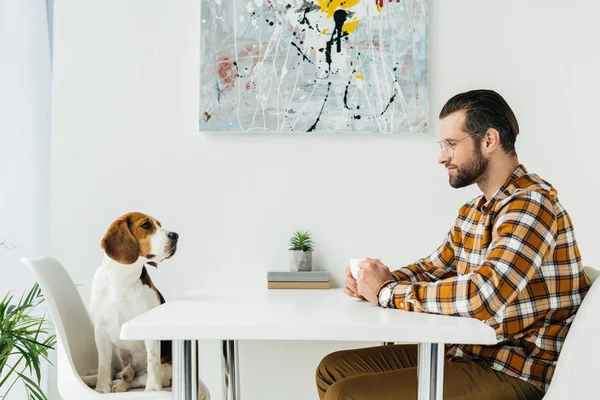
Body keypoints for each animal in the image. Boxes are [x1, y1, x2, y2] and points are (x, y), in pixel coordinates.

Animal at [82, 212, 209, 396]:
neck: (122, 279)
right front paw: (100, 390)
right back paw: (91, 378)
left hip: (166, 370)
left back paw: (121, 384)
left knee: (136, 379)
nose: (175, 235)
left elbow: (152, 364)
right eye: (146, 226)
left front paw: (153, 390)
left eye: (160, 225)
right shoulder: (101, 331)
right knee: (112, 370)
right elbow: (103, 367)